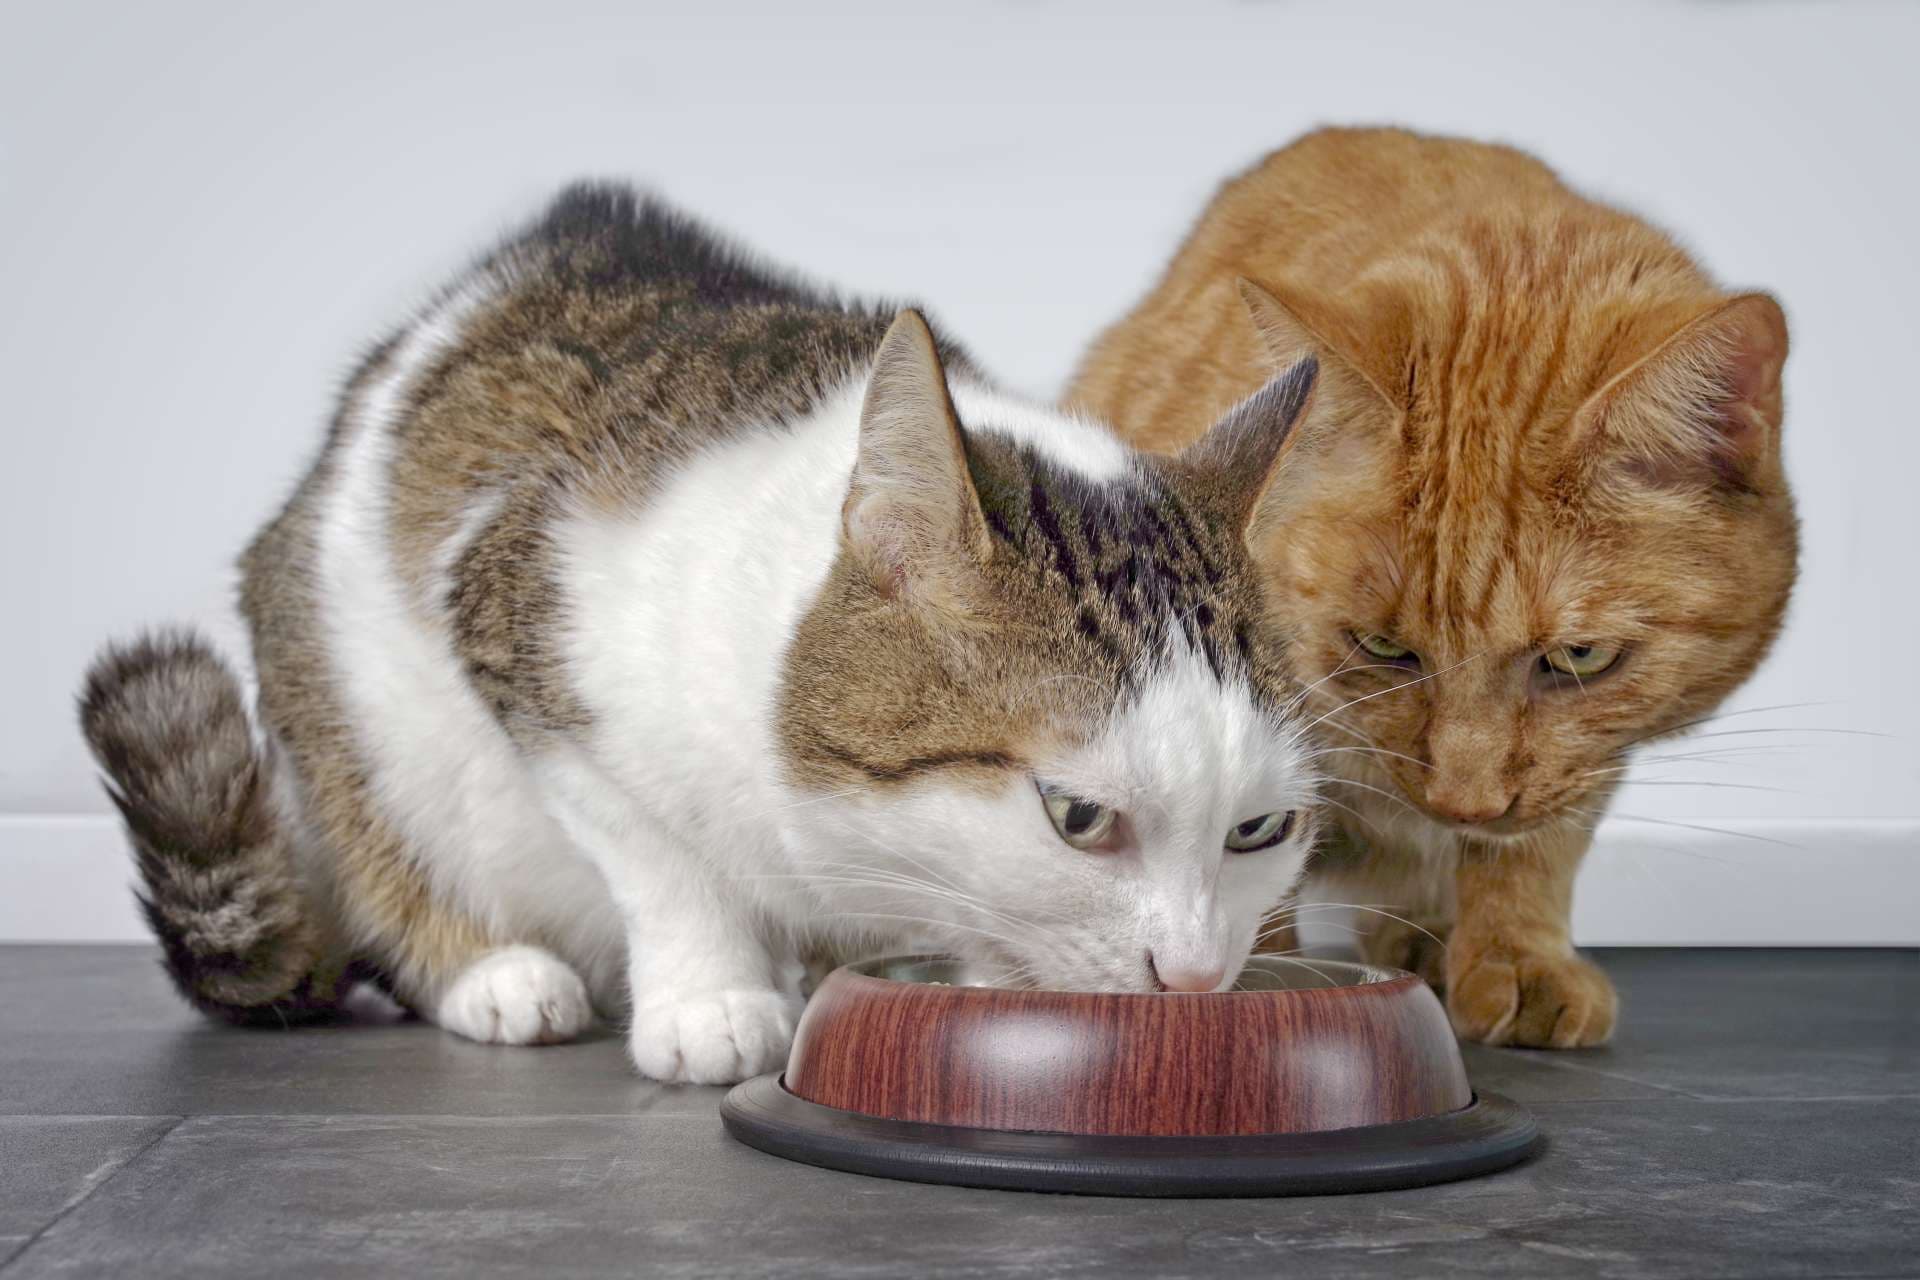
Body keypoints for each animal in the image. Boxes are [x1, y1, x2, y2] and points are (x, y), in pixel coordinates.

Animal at [82, 188, 1328, 1082]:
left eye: (1259, 827)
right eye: (1077, 817)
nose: (1197, 976)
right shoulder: (521, 627)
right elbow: (659, 851)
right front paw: (712, 995)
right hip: (346, 701)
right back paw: (494, 972)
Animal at [1075, 130, 1789, 1051]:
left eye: (1581, 657)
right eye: (1381, 646)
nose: (1464, 802)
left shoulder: (1585, 765)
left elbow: (1537, 846)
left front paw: (1518, 954)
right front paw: (1256, 981)